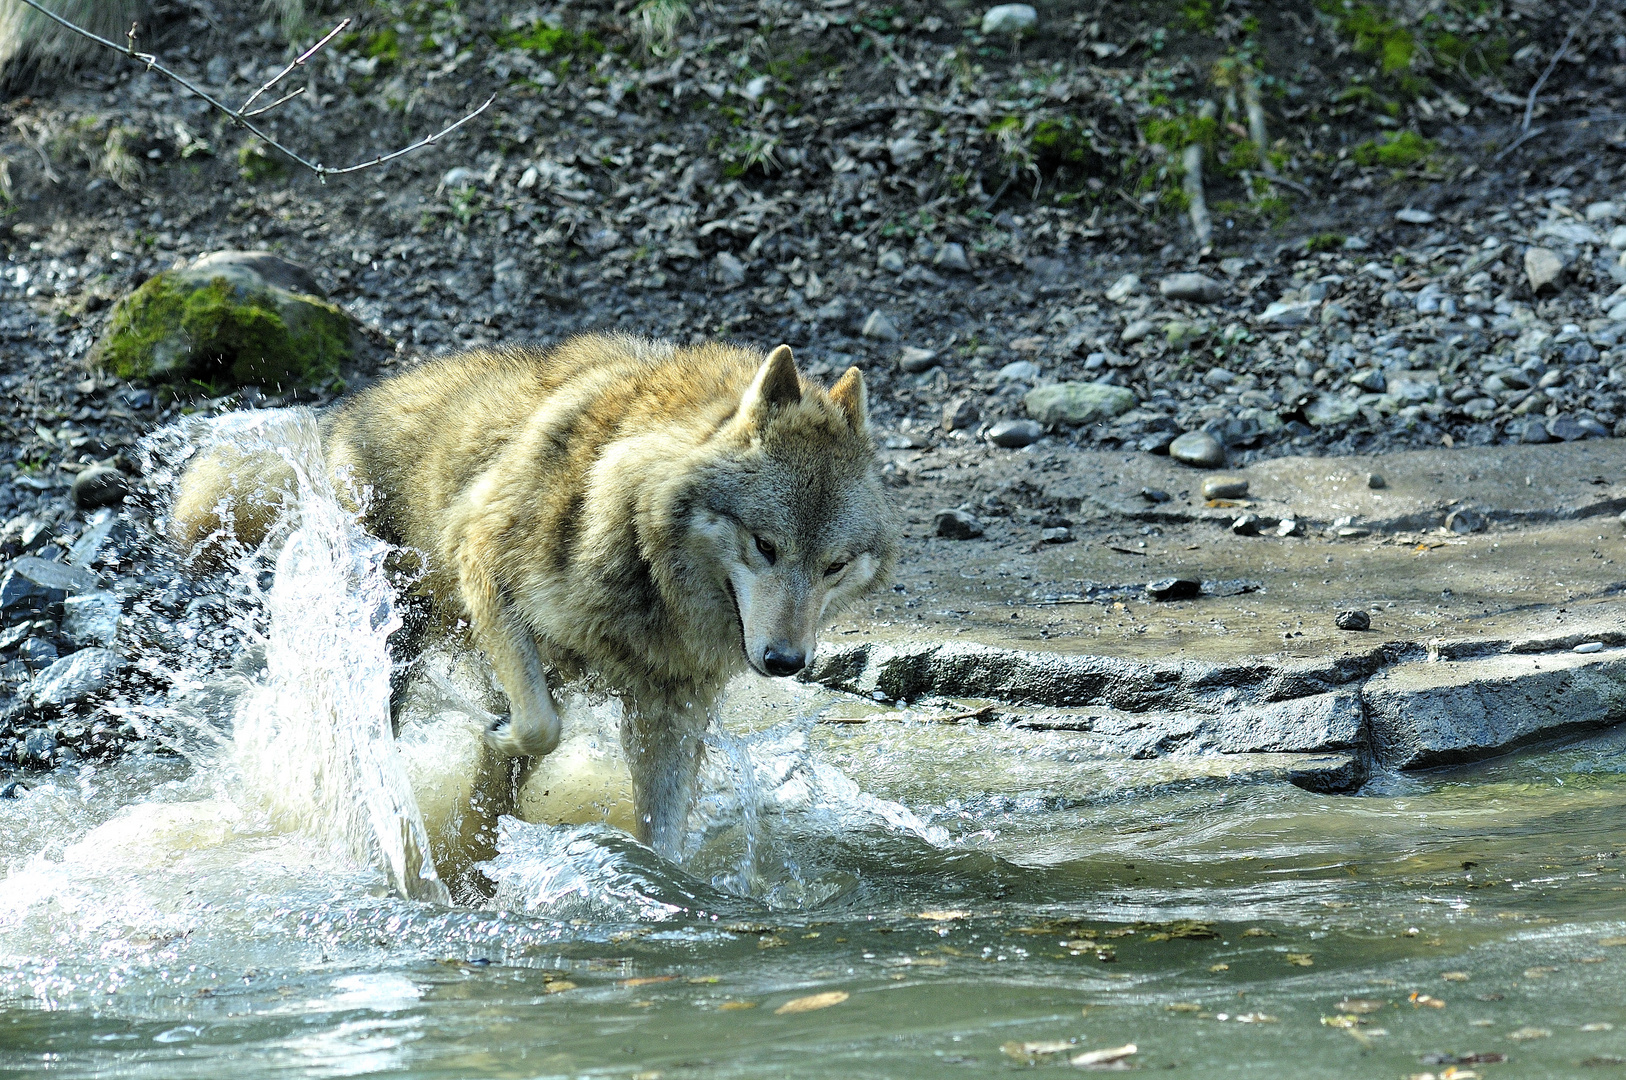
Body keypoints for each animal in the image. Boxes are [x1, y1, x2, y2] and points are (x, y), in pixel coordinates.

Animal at [171, 335, 904, 852]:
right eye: (765, 545)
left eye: (834, 566)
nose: (785, 662)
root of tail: (341, 415)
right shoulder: (486, 566)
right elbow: (539, 727)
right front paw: (496, 735)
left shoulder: (669, 710)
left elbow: (661, 833)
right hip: (389, 643)